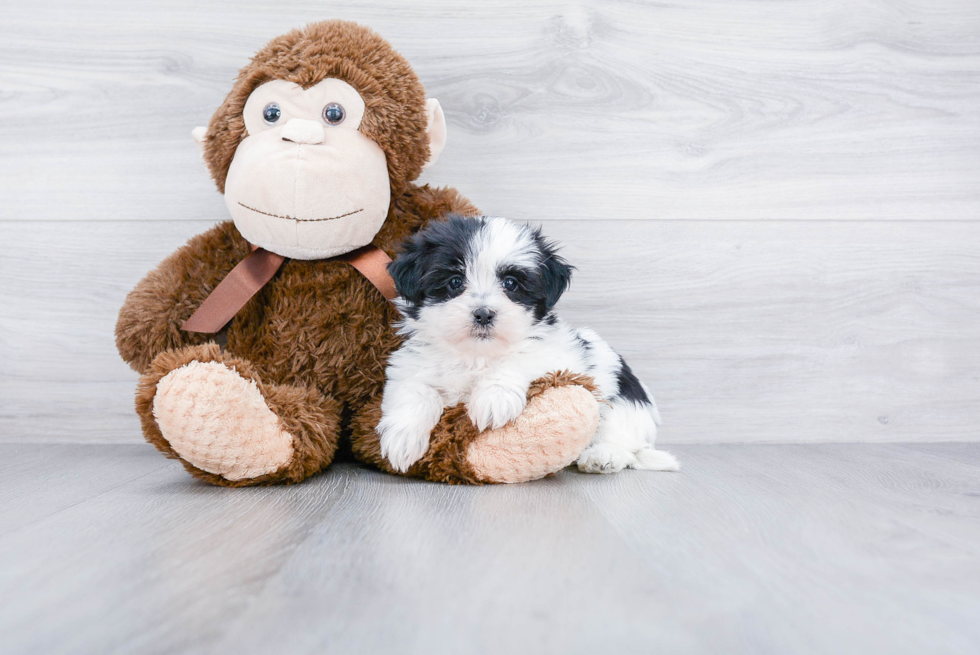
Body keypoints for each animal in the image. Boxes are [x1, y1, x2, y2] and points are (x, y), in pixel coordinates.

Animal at [378, 215, 676, 476]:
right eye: (455, 282)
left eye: (511, 283)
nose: (483, 313)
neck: (476, 355)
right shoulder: (409, 366)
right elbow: (415, 390)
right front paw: (402, 438)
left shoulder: (559, 356)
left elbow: (520, 359)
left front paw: (494, 397)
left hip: (620, 402)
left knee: (625, 442)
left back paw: (603, 456)